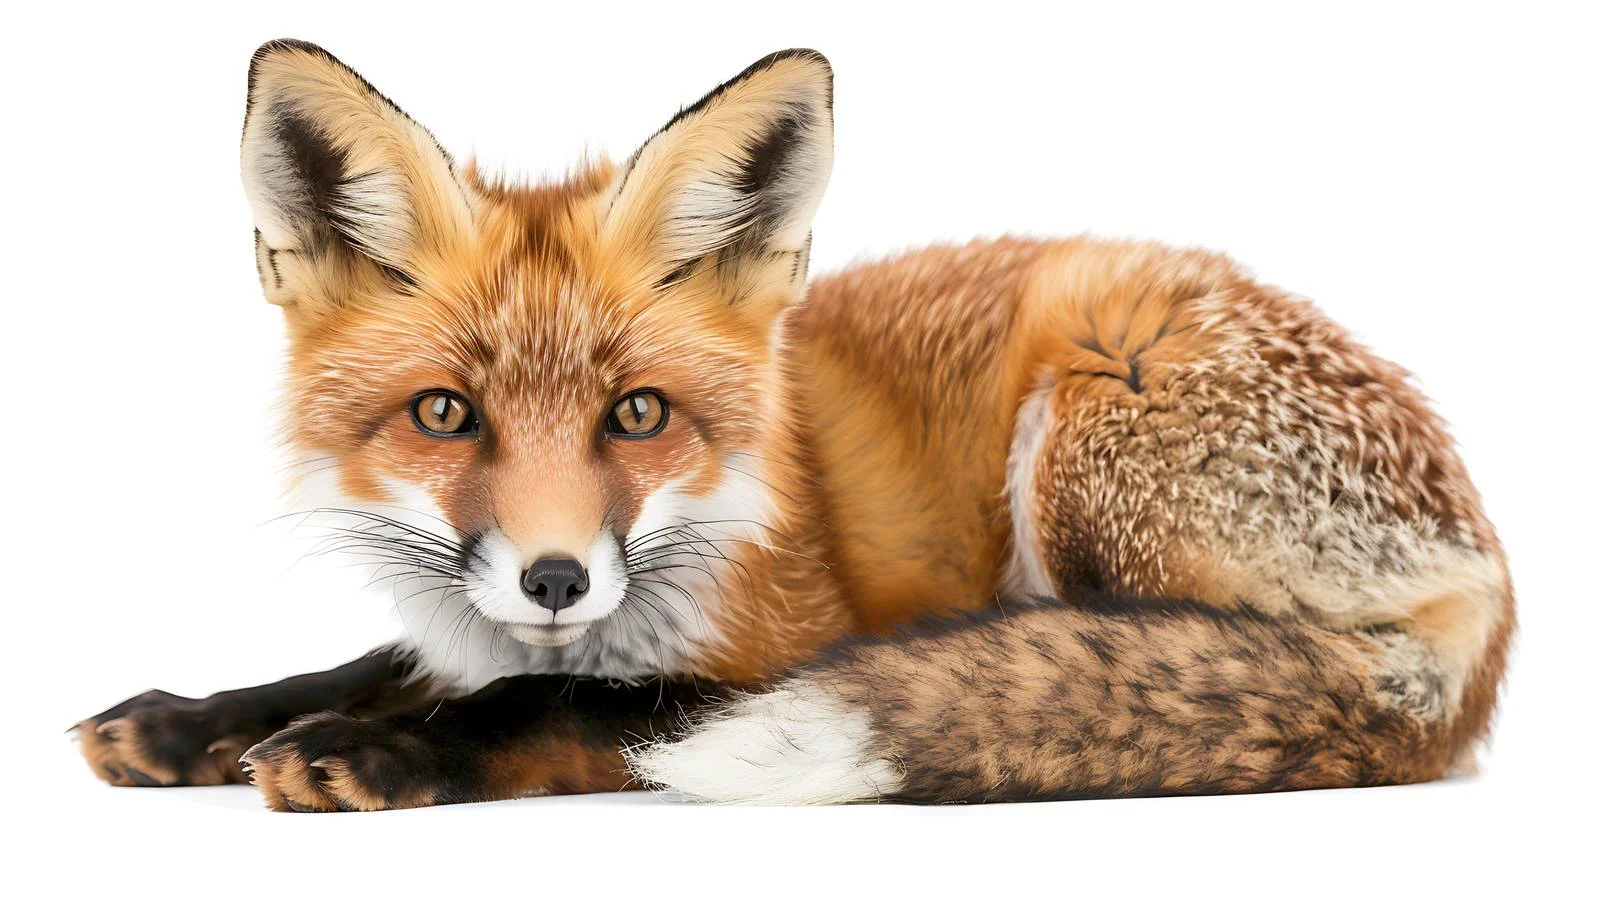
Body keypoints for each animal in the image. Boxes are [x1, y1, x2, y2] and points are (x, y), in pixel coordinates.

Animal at [71, 40, 1513, 810]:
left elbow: (550, 701)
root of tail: (1490, 582)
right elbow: (372, 660)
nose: (556, 577)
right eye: (445, 414)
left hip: (1093, 412)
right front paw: (195, 718)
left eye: (636, 414)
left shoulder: (772, 650)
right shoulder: (469, 623)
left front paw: (380, 750)